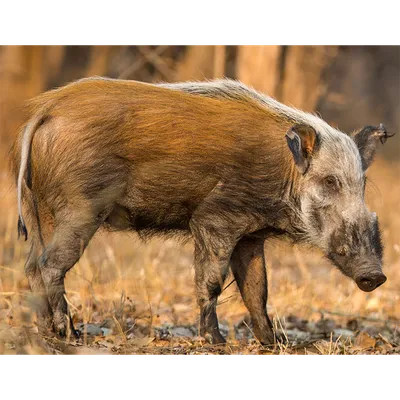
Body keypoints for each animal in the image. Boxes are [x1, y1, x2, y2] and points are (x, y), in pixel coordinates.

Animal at [10, 77, 394, 344]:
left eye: (361, 185)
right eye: (330, 182)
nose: (375, 276)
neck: (282, 173)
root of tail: (45, 111)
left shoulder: (250, 236)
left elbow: (257, 289)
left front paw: (272, 342)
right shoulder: (215, 220)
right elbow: (211, 280)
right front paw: (217, 341)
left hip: (39, 210)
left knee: (31, 266)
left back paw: (46, 333)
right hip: (80, 209)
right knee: (50, 264)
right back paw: (68, 333)